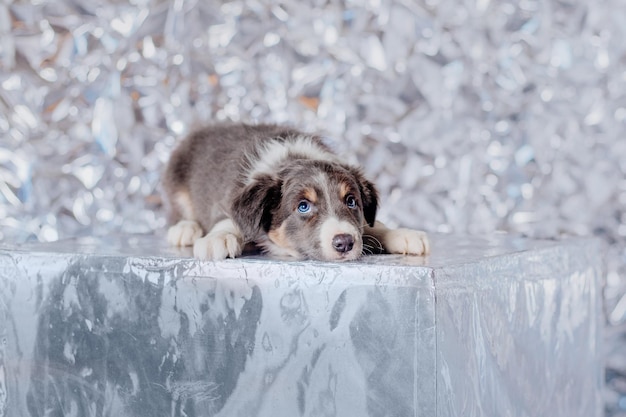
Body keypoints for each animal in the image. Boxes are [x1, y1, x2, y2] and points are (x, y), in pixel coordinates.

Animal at [161, 122, 428, 262]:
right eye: (303, 206)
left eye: (351, 201)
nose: (344, 243)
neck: (295, 157)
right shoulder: (229, 197)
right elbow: (228, 221)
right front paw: (218, 238)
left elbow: (371, 226)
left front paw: (403, 234)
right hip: (175, 176)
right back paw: (185, 229)